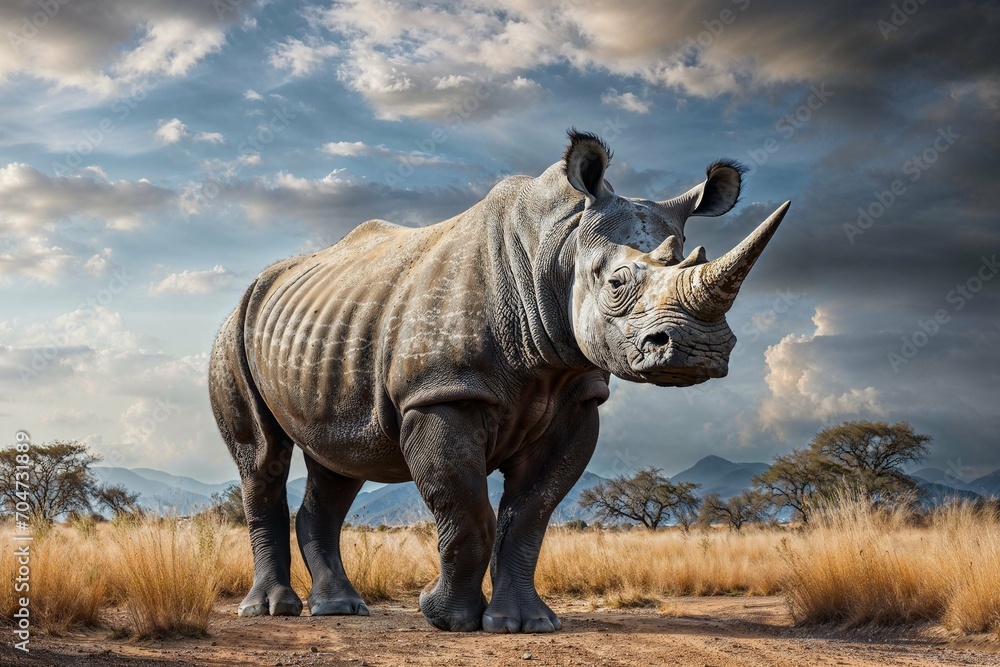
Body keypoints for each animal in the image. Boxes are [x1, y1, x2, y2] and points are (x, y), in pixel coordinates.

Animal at [208, 130, 790, 633]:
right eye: (617, 282)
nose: (697, 351)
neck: (555, 248)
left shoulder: (578, 396)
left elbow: (531, 513)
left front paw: (526, 624)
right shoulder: (443, 392)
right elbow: (467, 511)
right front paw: (446, 618)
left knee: (340, 459)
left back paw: (341, 609)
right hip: (233, 329)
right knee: (263, 458)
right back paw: (271, 611)